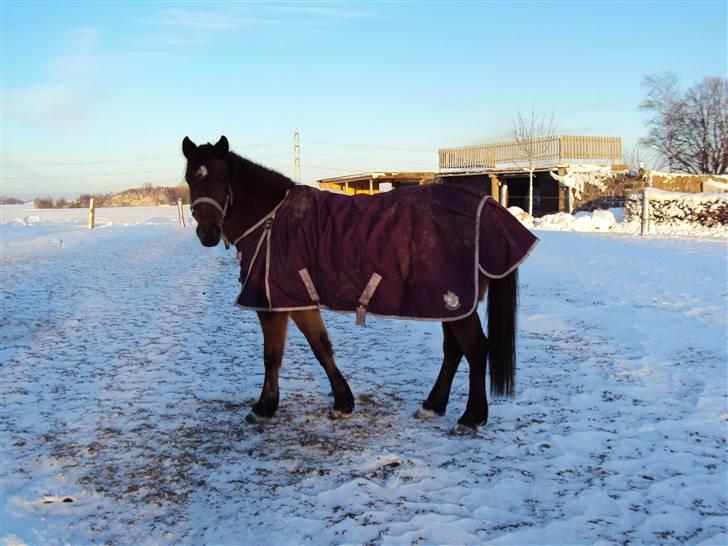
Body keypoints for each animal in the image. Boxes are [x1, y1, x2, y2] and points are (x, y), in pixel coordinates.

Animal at [180, 135, 536, 430]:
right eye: (189, 179)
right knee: (454, 350)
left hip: (455, 300)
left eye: (222, 178)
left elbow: (273, 355)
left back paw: (471, 416)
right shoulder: (298, 299)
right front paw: (342, 401)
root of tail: (488, 206)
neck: (272, 219)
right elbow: (321, 346)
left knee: (475, 349)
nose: (208, 234)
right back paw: (433, 406)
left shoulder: (272, 303)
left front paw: (264, 407)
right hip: (450, 301)